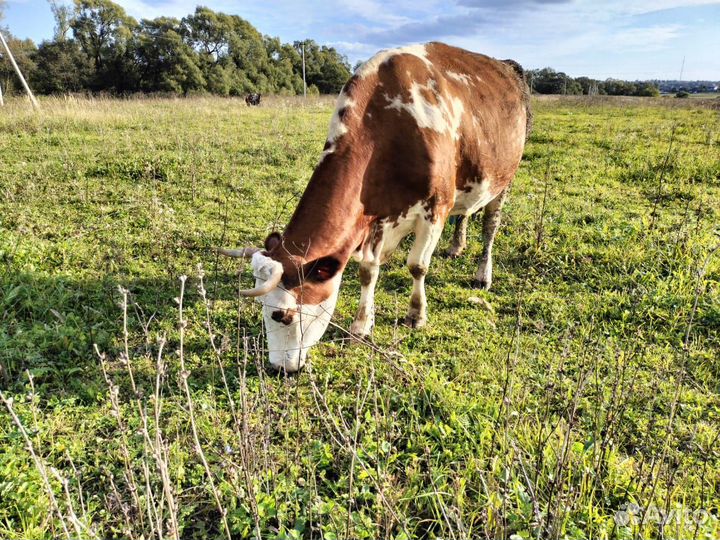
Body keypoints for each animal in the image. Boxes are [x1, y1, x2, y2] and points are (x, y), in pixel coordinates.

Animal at [222, 43, 532, 372]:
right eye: (262, 307)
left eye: (283, 315)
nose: (280, 368)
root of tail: (508, 67)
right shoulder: (376, 216)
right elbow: (368, 271)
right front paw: (361, 326)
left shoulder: (435, 208)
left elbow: (417, 266)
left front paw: (416, 314)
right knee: (465, 215)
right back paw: (456, 246)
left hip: (503, 179)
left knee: (489, 226)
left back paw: (483, 274)